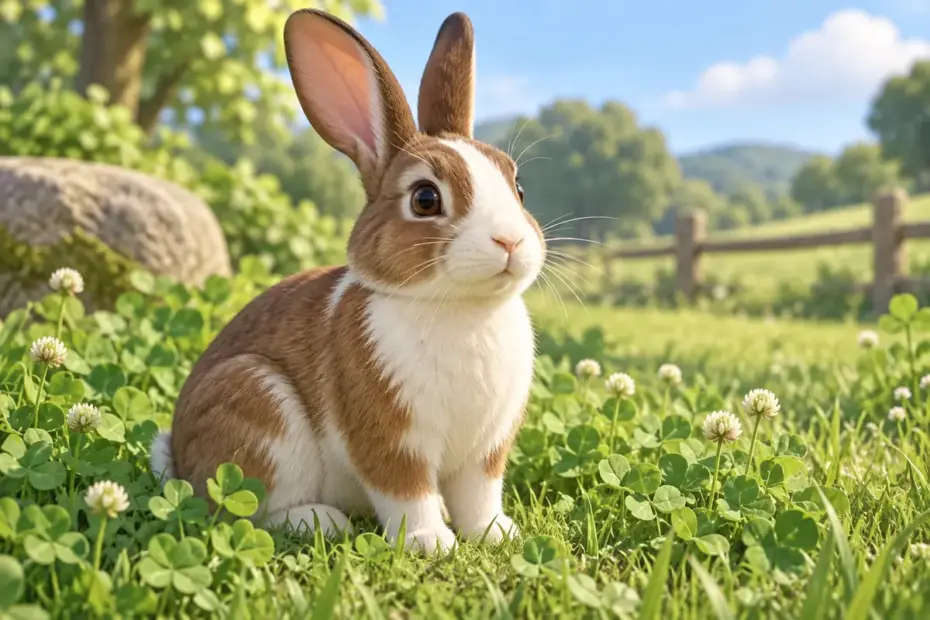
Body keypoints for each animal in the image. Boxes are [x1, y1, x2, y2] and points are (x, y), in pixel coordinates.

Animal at [149, 8, 546, 554]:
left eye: (519, 190)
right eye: (425, 199)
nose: (510, 241)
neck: (460, 308)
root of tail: (182, 459)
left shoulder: (485, 451)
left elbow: (478, 497)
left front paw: (498, 535)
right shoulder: (390, 438)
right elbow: (407, 492)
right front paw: (431, 543)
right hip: (258, 408)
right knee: (251, 510)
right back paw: (321, 521)